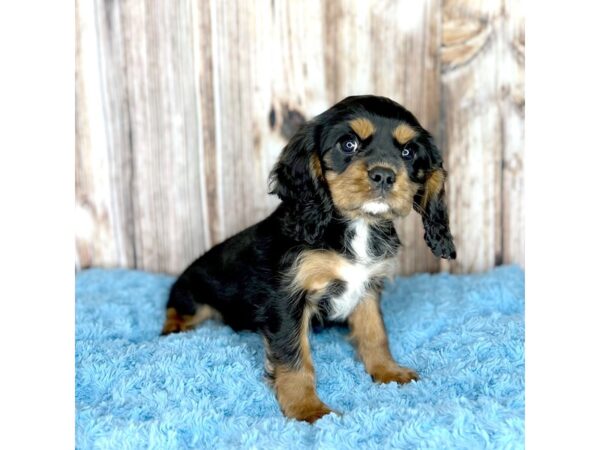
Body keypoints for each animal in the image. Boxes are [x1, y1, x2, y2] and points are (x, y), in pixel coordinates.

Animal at [162, 94, 458, 422]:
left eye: (408, 152)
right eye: (348, 144)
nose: (384, 175)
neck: (356, 225)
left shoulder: (367, 288)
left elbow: (375, 333)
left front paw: (388, 371)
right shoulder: (286, 299)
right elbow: (294, 359)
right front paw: (307, 408)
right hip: (192, 290)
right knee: (176, 309)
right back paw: (174, 330)